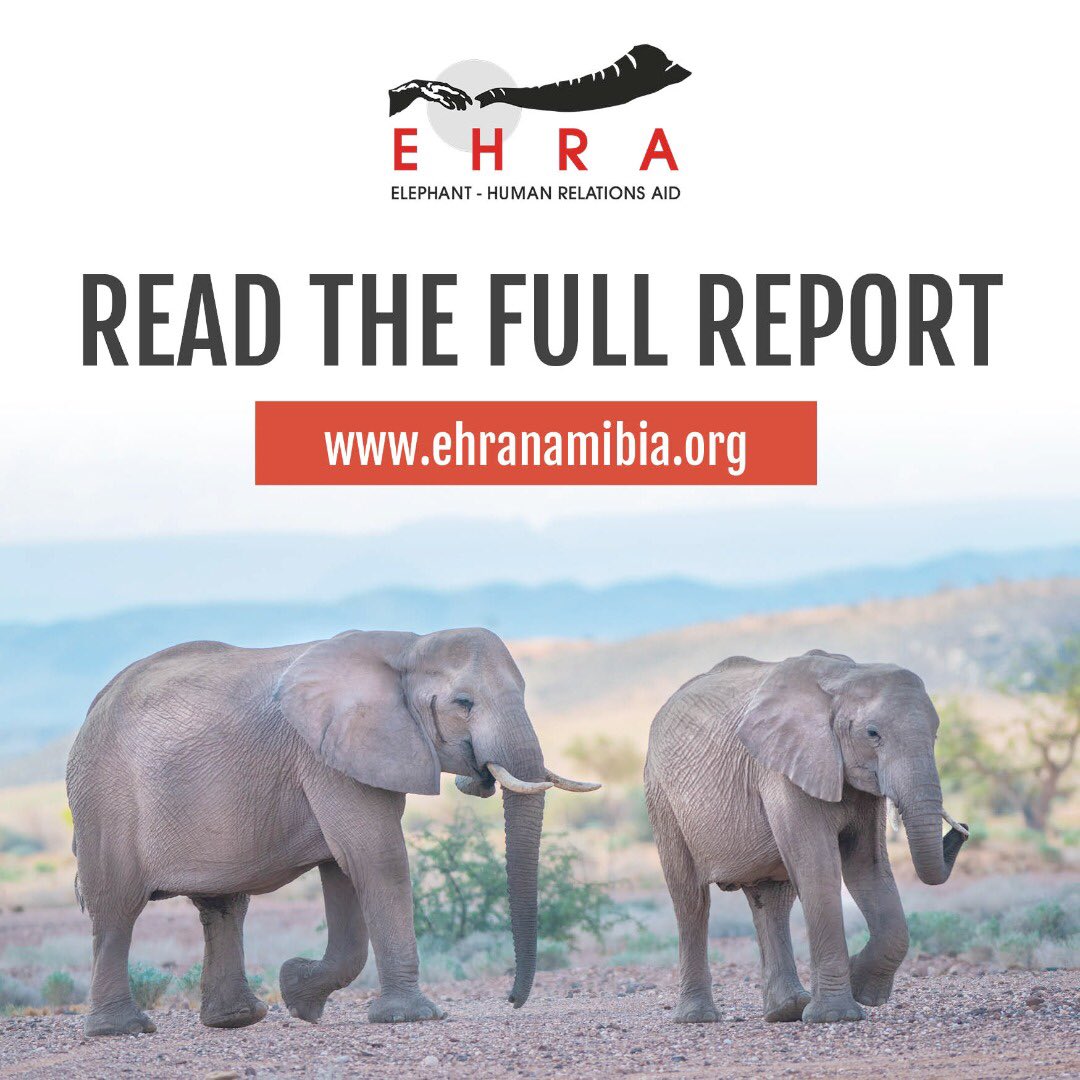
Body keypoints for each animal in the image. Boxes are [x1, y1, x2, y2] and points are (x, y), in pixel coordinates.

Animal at [66, 627, 599, 1037]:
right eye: (463, 703)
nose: (511, 999)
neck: (408, 648)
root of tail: (94, 705)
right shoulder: (328, 754)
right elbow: (377, 857)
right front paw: (411, 1018)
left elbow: (344, 869)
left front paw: (298, 994)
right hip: (103, 797)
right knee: (116, 909)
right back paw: (122, 1030)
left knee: (224, 905)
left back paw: (237, 1019)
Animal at [644, 649, 968, 1025]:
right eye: (872, 733)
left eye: (935, 735)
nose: (963, 829)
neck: (846, 677)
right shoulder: (783, 767)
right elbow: (819, 866)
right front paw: (836, 1016)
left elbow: (868, 867)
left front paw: (862, 989)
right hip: (661, 796)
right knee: (691, 900)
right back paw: (699, 1018)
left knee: (772, 900)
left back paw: (787, 1010)